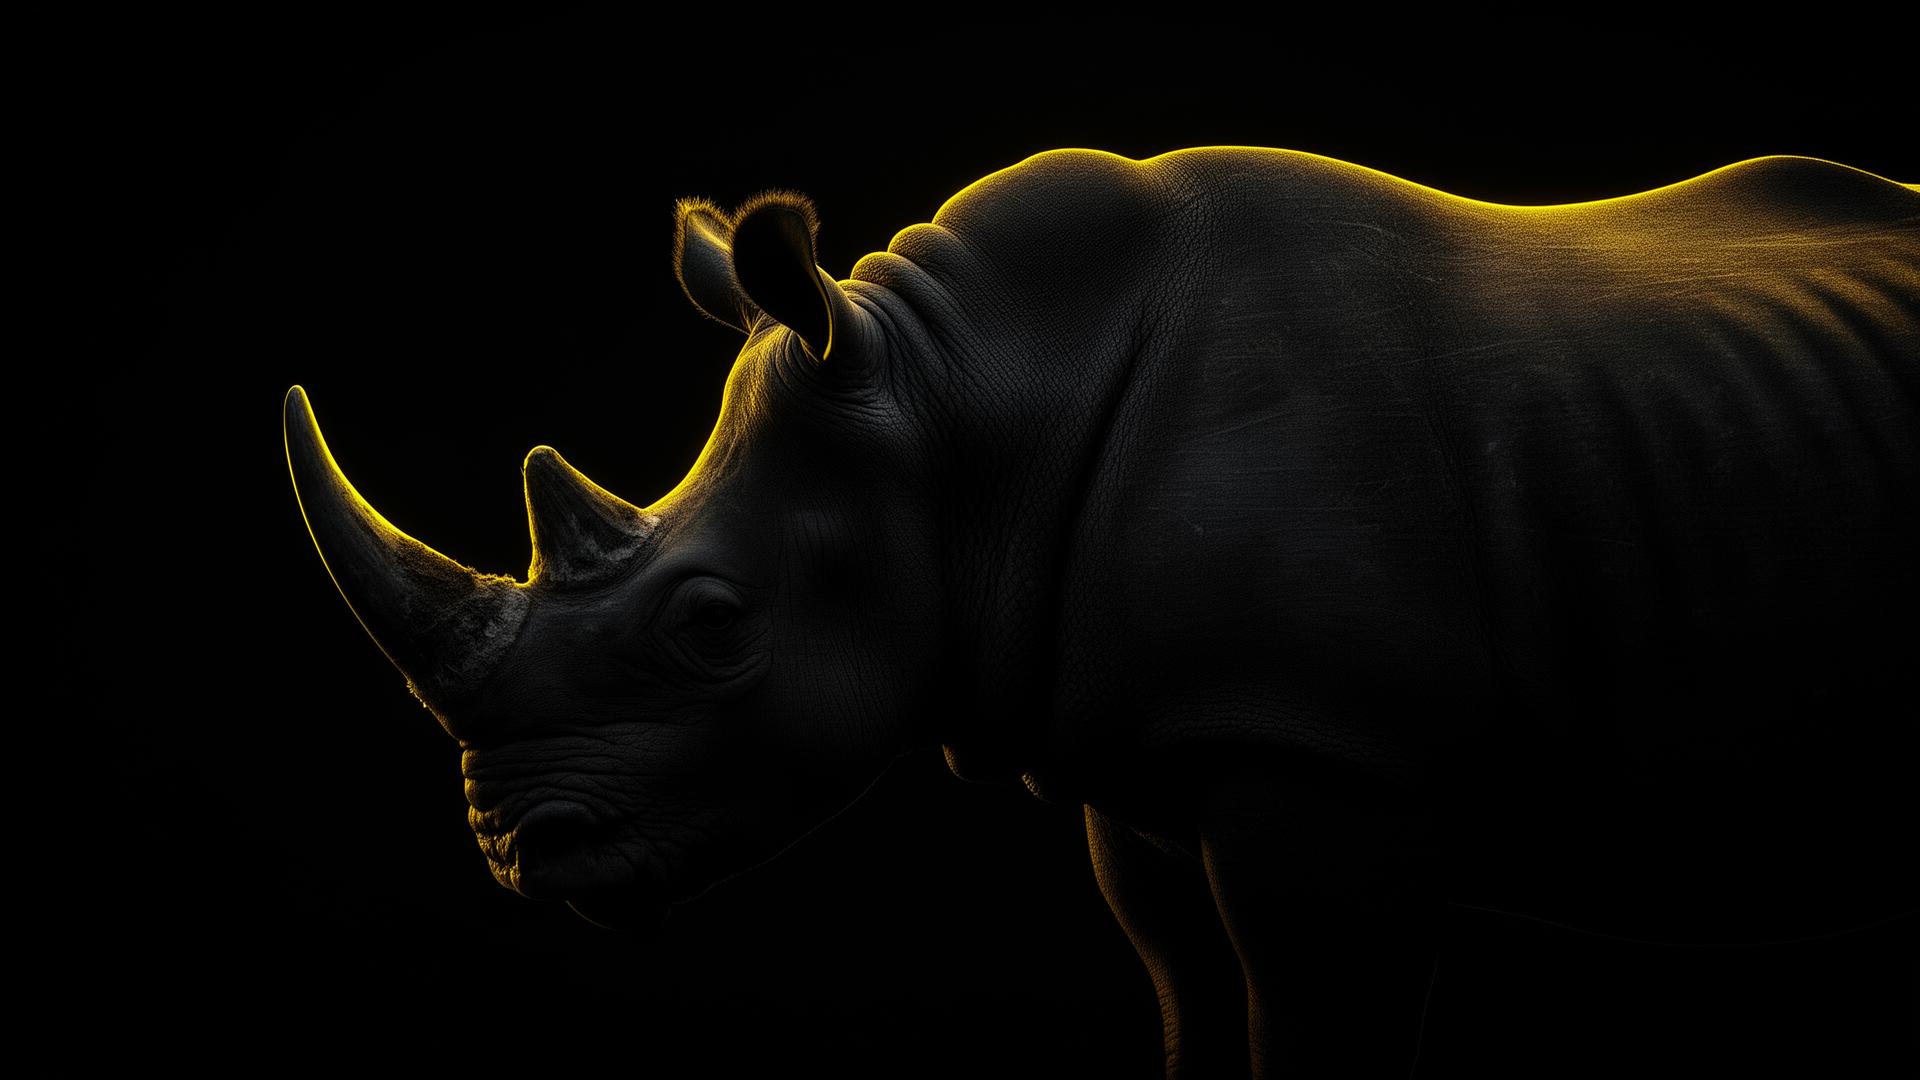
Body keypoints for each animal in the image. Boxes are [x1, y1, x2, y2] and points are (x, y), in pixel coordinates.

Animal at [286, 148, 1919, 1076]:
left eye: (710, 624)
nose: (520, 852)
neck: (964, 404)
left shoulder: (1331, 759)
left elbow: (1316, 1040)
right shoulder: (1157, 761)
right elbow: (1191, 1004)